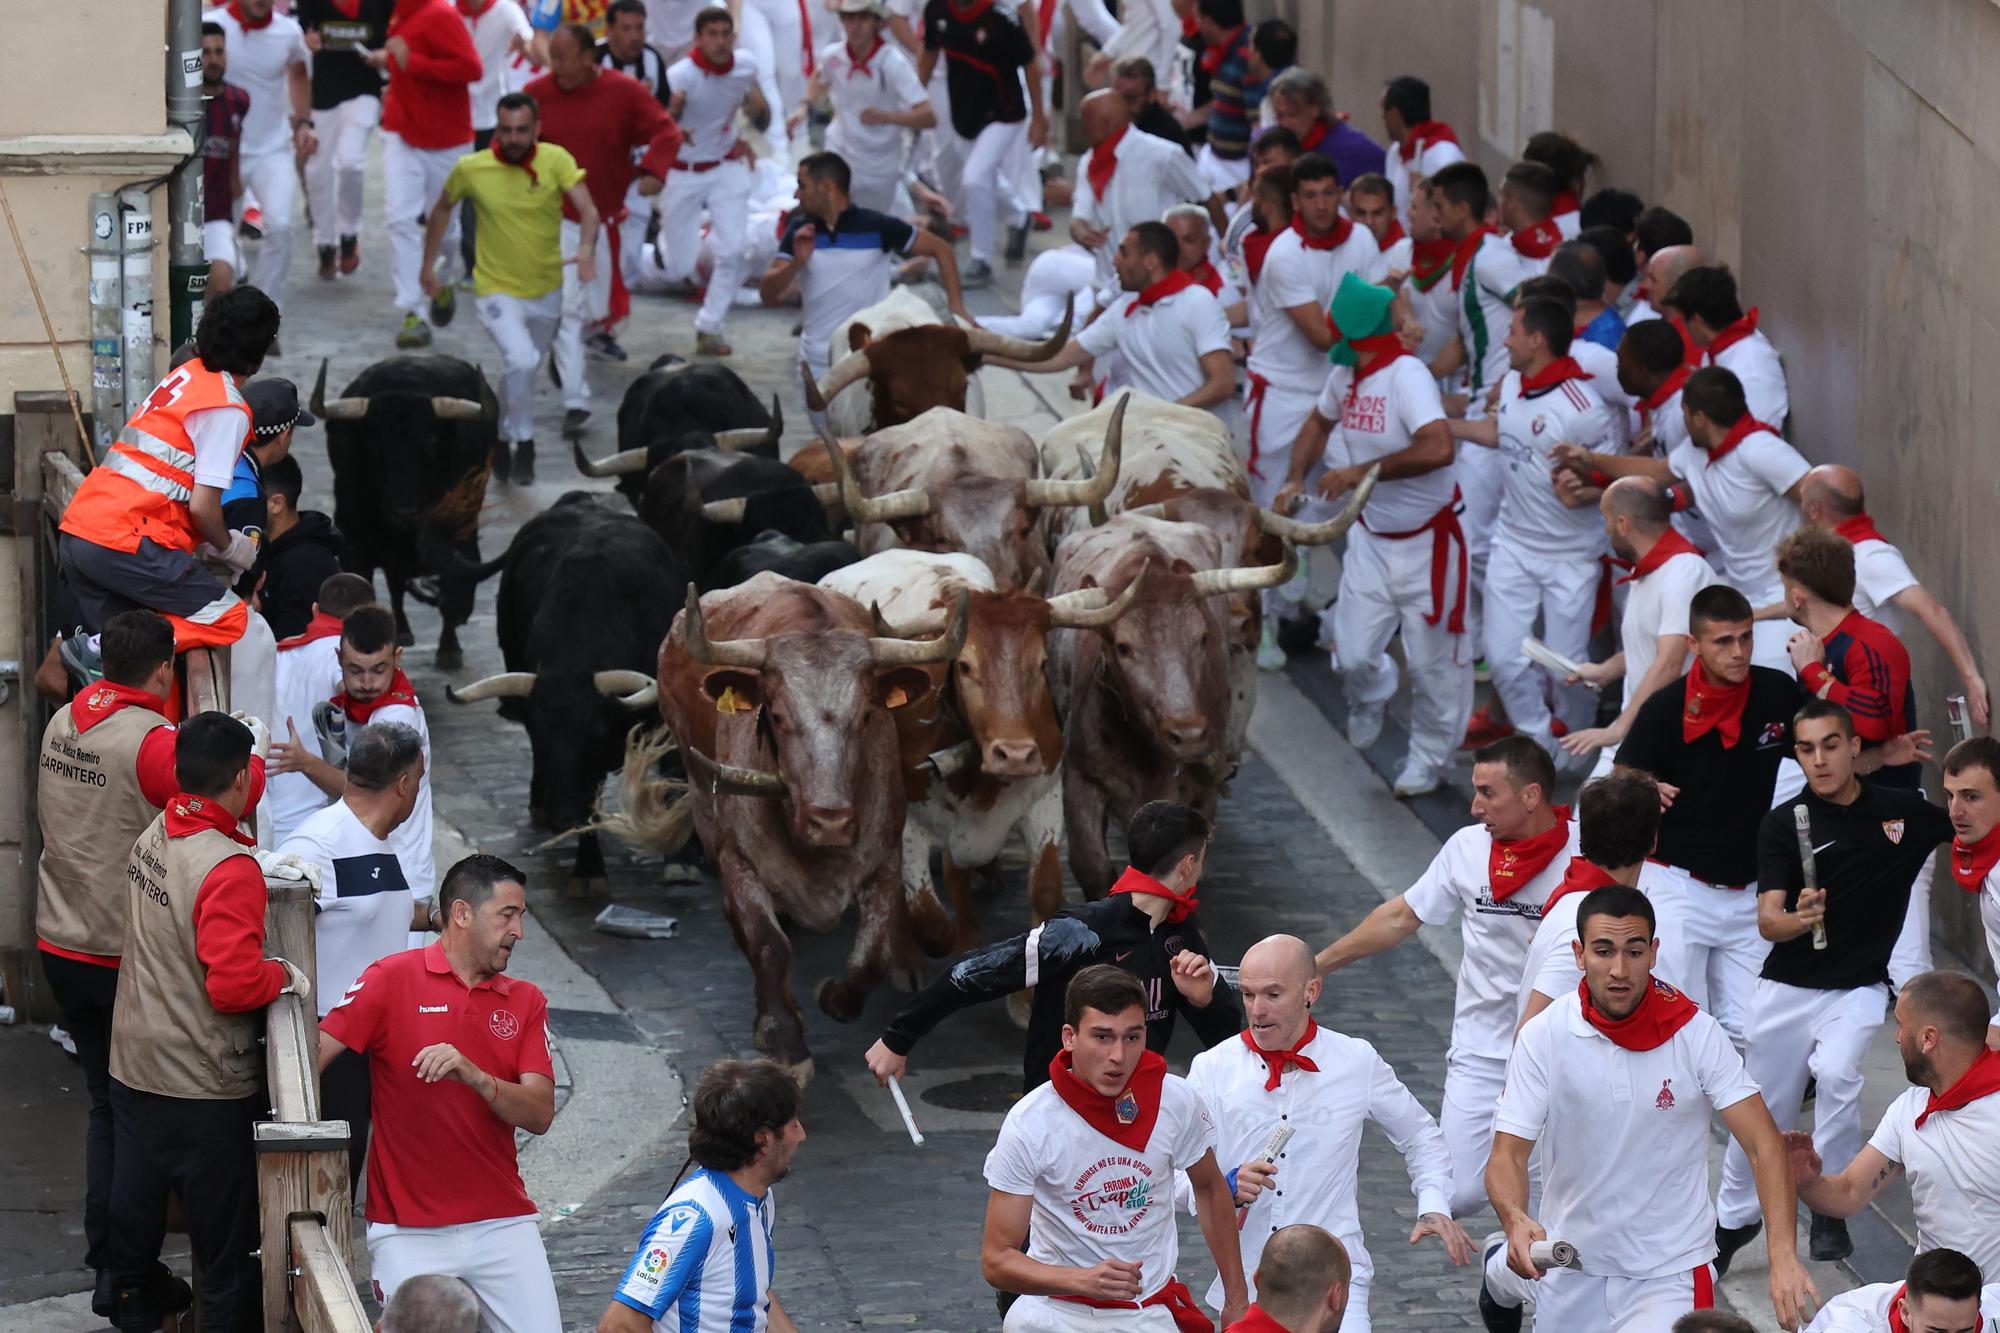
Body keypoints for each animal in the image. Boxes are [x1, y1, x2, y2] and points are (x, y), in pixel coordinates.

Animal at [620, 572, 972, 1080]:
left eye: (865, 716)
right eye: (779, 717)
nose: (830, 820)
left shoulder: (884, 859)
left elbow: (871, 955)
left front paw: (835, 997)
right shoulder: (740, 860)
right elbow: (769, 945)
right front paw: (784, 1039)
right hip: (704, 805)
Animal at [820, 548, 1152, 944]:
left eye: (1041, 662)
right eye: (965, 666)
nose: (1016, 756)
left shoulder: (1044, 802)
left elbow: (1044, 893)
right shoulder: (908, 830)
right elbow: (934, 925)